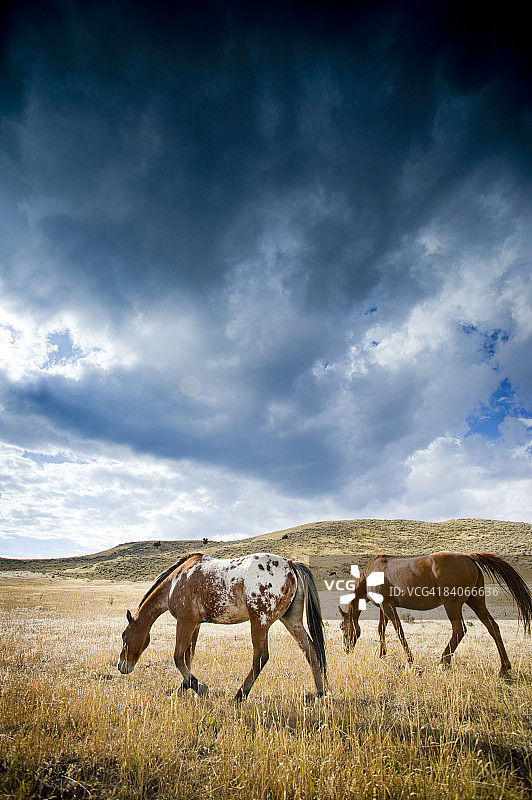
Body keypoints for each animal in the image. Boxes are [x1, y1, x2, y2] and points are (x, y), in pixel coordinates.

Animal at [118, 552, 327, 700]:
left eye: (123, 635)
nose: (121, 666)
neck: (175, 582)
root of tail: (290, 564)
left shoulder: (185, 622)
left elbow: (178, 657)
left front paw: (197, 686)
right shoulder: (195, 624)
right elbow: (188, 656)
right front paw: (185, 686)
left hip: (259, 622)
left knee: (261, 657)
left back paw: (239, 695)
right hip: (291, 620)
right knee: (311, 651)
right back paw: (320, 693)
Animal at [339, 551, 532, 676]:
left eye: (341, 626)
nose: (345, 649)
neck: (371, 574)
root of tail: (469, 558)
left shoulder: (387, 606)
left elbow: (399, 631)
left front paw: (410, 663)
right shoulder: (384, 607)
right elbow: (381, 630)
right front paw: (382, 655)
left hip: (452, 604)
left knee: (459, 630)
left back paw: (443, 663)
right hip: (476, 601)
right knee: (493, 627)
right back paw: (504, 667)